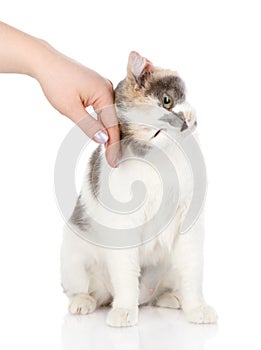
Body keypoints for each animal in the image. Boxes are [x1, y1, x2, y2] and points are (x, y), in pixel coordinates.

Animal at [60, 52, 216, 328]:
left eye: (167, 101)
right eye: (156, 132)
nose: (183, 124)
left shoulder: (190, 222)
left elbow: (193, 269)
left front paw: (196, 307)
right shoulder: (123, 226)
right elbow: (125, 274)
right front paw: (124, 309)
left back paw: (170, 297)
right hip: (72, 256)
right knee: (86, 289)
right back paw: (84, 301)